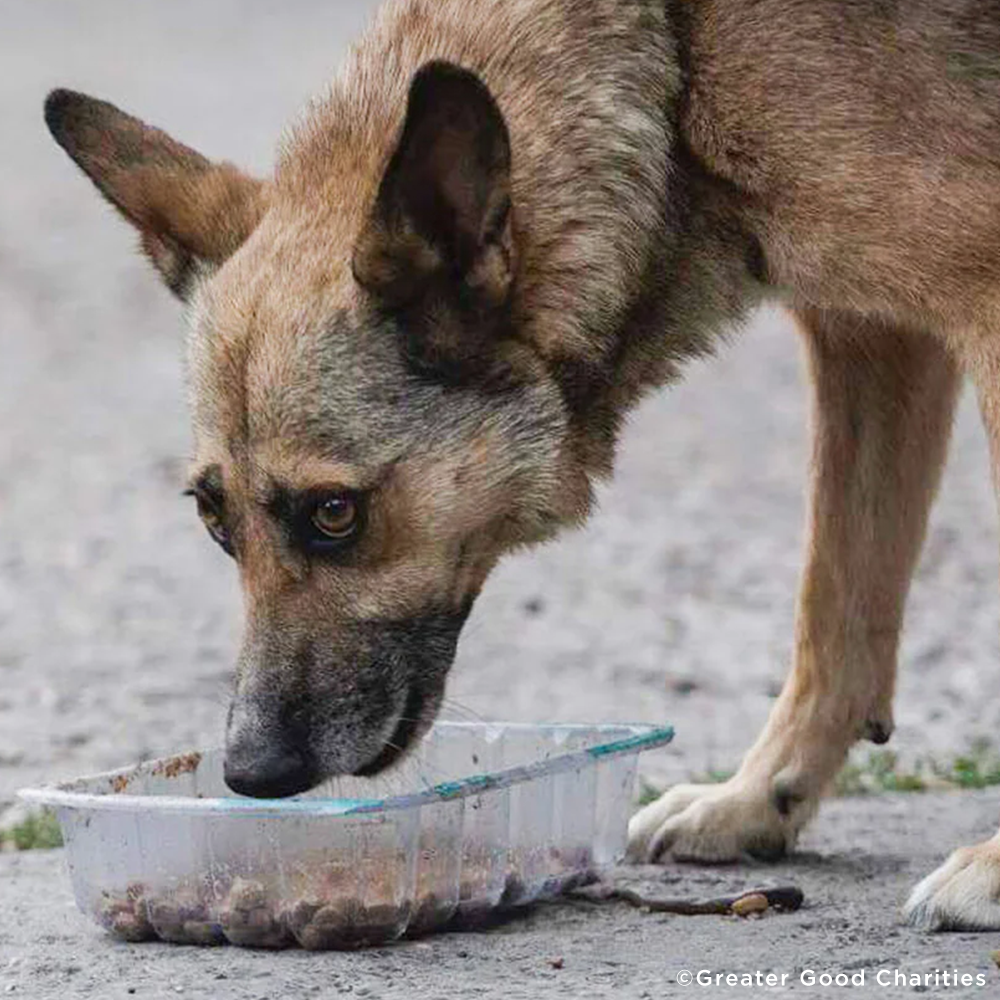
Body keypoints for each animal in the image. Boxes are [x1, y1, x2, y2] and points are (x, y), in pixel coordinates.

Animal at [45, 0, 1000, 932]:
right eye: (212, 519)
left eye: (333, 514)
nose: (249, 773)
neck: (675, 62)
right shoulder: (868, 332)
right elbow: (837, 608)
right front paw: (758, 798)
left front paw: (990, 869)